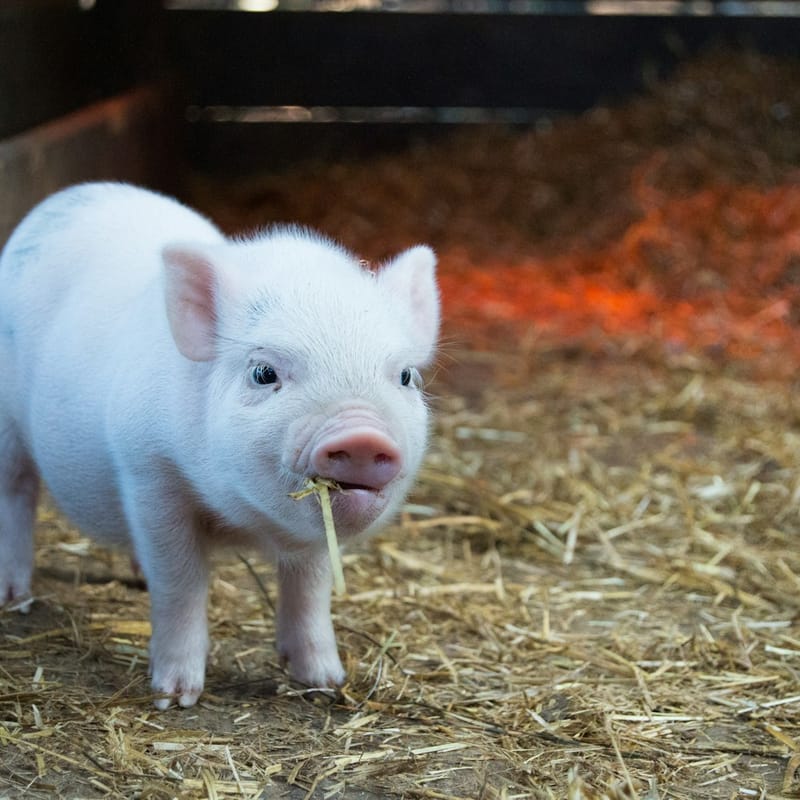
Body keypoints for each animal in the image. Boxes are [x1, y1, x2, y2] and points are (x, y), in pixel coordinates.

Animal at [0, 182, 439, 709]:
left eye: (405, 376)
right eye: (263, 372)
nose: (361, 435)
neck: (244, 522)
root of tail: (69, 195)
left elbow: (310, 590)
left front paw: (325, 682)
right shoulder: (149, 473)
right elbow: (181, 582)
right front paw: (174, 697)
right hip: (7, 428)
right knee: (16, 494)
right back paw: (13, 598)